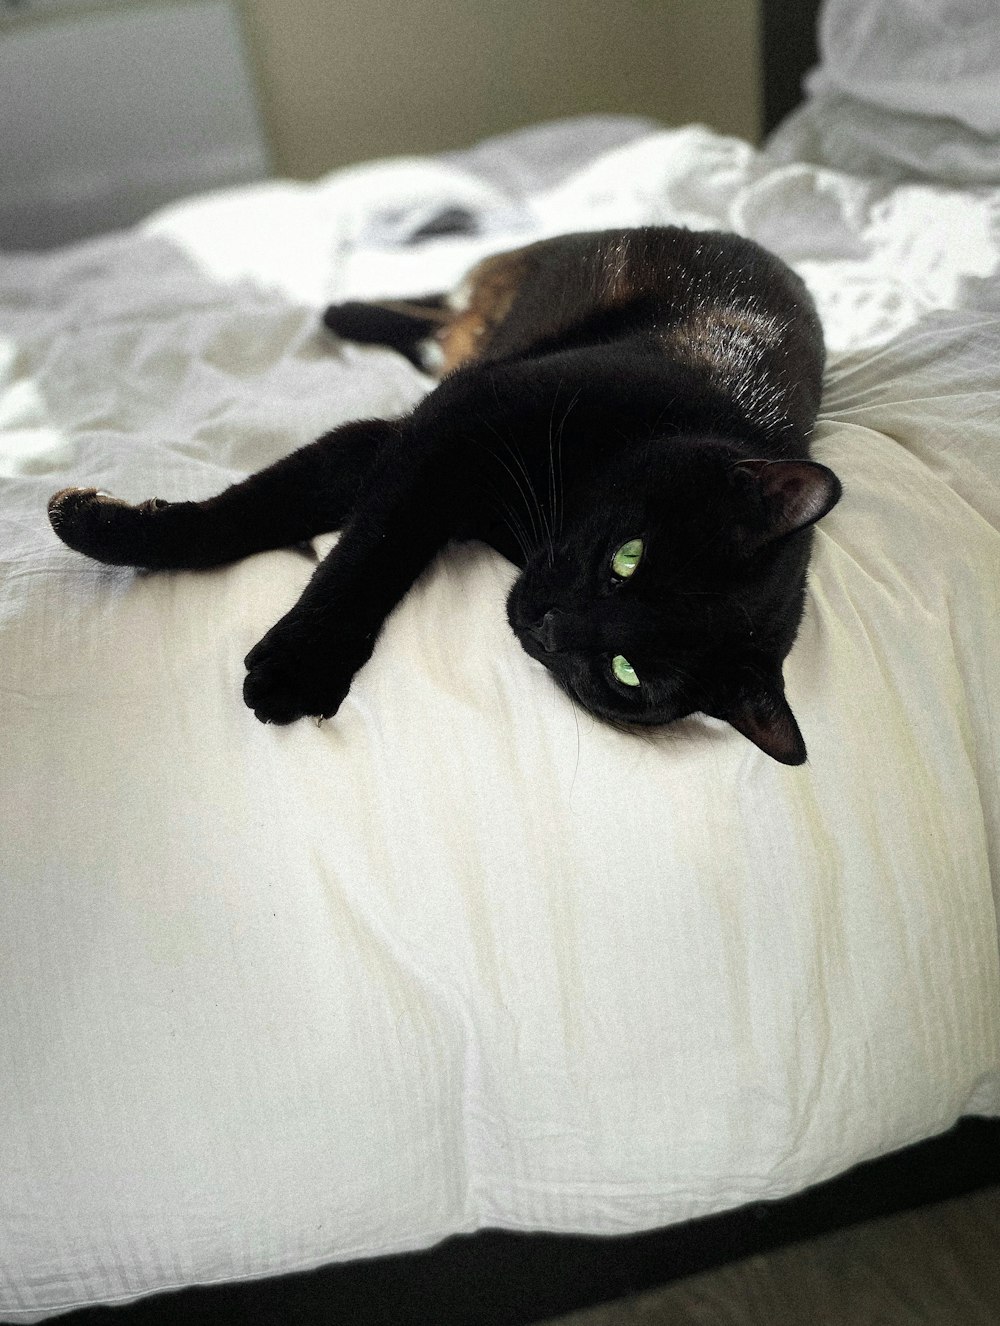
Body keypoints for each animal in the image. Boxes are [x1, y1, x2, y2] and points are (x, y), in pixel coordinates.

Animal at [48, 229, 843, 769]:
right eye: (630, 556)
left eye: (627, 674)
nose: (552, 624)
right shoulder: (443, 431)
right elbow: (344, 541)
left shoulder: (422, 452)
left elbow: (343, 533)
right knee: (442, 305)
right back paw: (344, 310)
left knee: (438, 326)